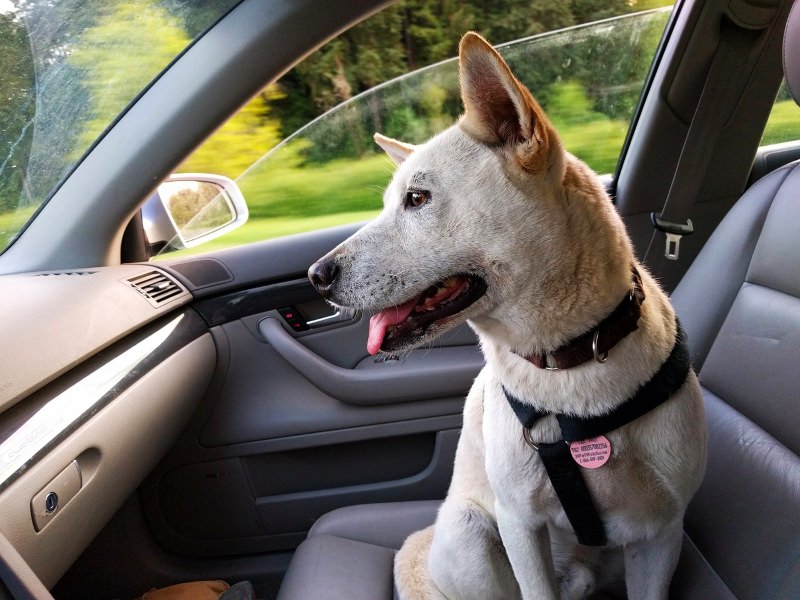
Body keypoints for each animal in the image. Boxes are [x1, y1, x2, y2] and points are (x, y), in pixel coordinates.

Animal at [306, 32, 708, 600]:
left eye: (417, 198)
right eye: (390, 202)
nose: (315, 275)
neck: (571, 364)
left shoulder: (661, 535)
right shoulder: (521, 523)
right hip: (471, 531)